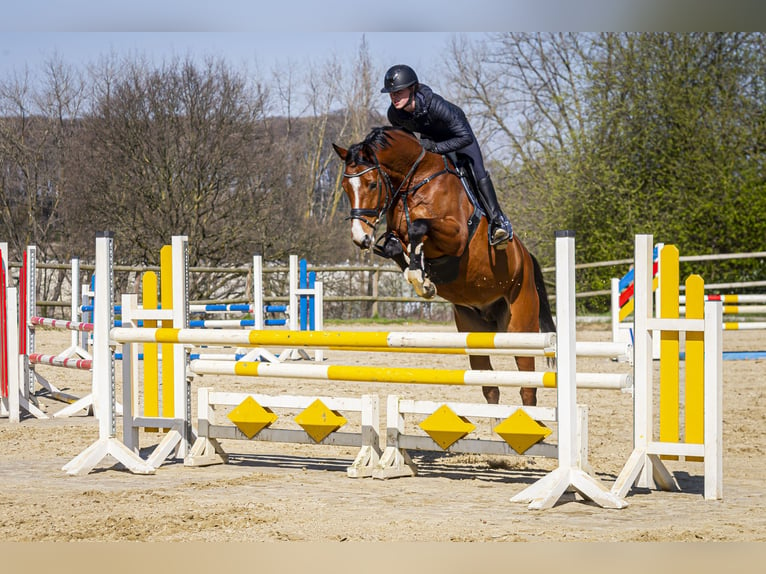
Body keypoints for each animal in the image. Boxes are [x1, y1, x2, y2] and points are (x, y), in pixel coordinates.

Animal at [332, 128, 556, 408]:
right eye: (345, 187)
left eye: (372, 184)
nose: (359, 237)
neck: (416, 181)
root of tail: (526, 258)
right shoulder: (397, 234)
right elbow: (397, 246)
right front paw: (421, 278)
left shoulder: (456, 236)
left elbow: (419, 227)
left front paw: (421, 275)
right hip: (474, 328)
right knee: (490, 388)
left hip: (519, 325)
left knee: (527, 388)